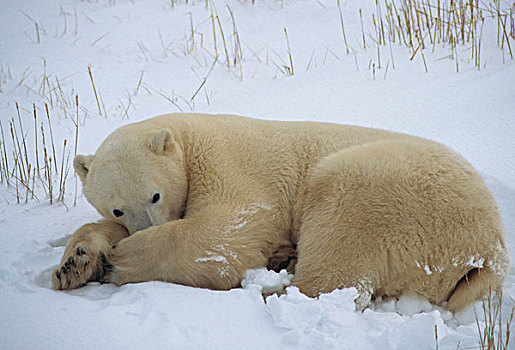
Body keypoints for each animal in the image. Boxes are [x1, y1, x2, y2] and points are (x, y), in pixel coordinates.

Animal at [50, 113, 510, 312]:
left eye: (156, 195)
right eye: (118, 207)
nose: (140, 226)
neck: (187, 136)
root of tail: (491, 251)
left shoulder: (228, 165)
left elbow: (229, 232)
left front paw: (120, 260)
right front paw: (76, 262)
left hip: (393, 194)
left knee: (338, 243)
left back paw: (273, 286)